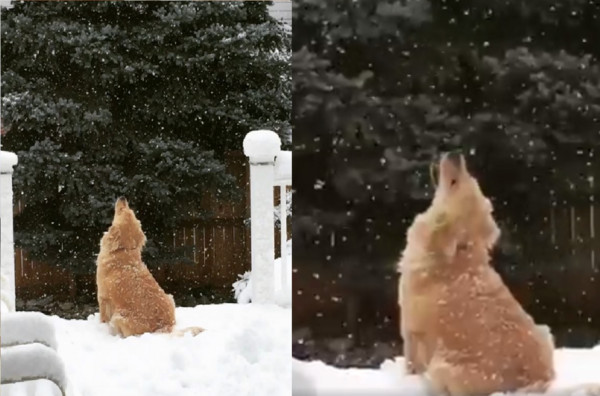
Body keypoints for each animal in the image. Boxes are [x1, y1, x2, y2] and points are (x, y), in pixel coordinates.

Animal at [97, 198, 203, 338]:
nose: (123, 197)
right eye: (130, 211)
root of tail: (164, 326)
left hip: (119, 316)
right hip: (170, 297)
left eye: (121, 211)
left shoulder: (102, 297)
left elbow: (102, 317)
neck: (124, 250)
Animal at [396, 153, 556, 396]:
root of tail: (533, 380)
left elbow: (411, 364)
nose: (456, 154)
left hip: (441, 366)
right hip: (545, 332)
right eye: (473, 181)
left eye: (454, 183)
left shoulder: (411, 330)